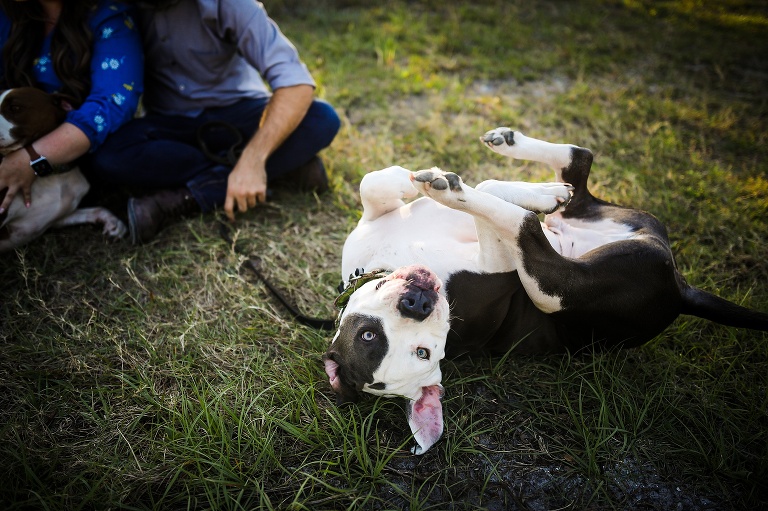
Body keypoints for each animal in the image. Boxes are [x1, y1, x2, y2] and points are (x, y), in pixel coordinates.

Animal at [322, 128, 768, 456]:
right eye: (424, 353)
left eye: (367, 334)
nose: (418, 303)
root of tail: (680, 287)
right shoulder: (498, 262)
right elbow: (501, 207)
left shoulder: (374, 223)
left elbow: (374, 183)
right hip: (556, 290)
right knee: (529, 227)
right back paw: (463, 188)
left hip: (607, 215)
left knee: (578, 167)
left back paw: (510, 148)